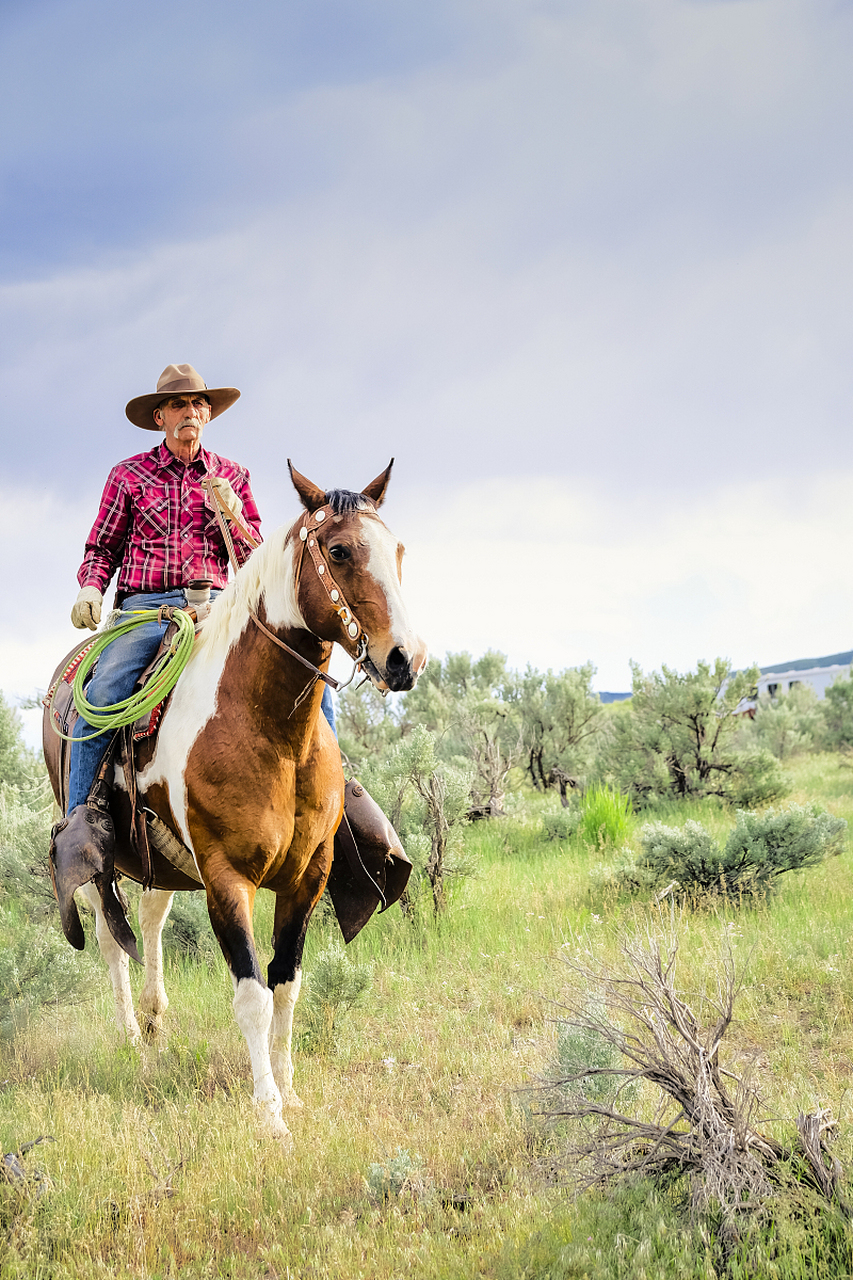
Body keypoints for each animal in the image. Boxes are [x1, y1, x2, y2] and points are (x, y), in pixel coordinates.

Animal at [41, 463, 425, 1141]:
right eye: (338, 551)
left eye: (397, 550)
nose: (405, 659)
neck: (269, 728)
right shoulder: (226, 877)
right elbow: (252, 997)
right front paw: (270, 1114)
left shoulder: (307, 877)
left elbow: (287, 985)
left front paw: (290, 1092)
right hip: (100, 860)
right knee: (113, 935)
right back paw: (133, 1040)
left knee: (151, 917)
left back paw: (156, 1020)